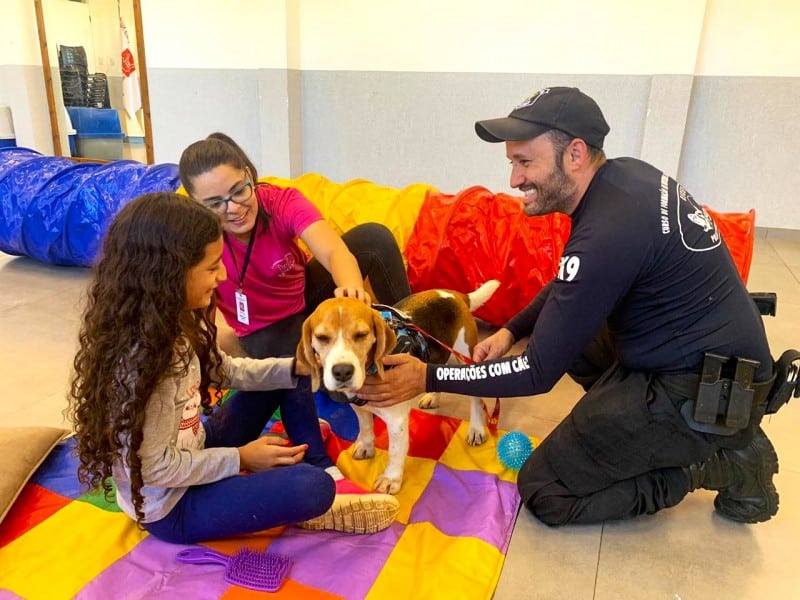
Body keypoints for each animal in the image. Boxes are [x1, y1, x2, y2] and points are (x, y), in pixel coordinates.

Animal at [296, 280, 496, 492]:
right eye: (322, 337)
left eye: (361, 335)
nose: (342, 371)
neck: (370, 371)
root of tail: (455, 295)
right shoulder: (359, 408)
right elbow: (365, 427)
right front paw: (366, 446)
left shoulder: (396, 421)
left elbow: (395, 451)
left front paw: (391, 478)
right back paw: (433, 397)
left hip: (466, 357)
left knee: (475, 398)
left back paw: (476, 428)